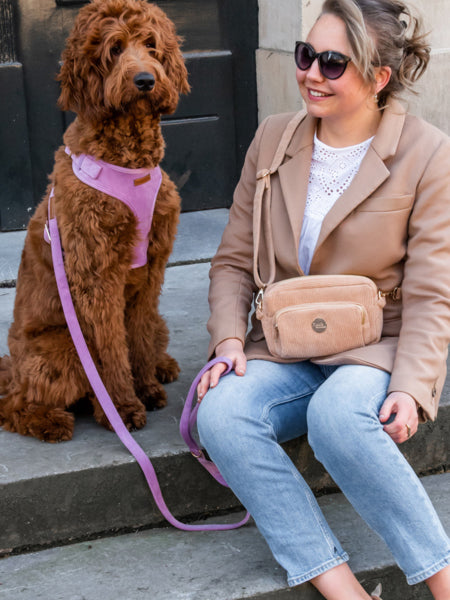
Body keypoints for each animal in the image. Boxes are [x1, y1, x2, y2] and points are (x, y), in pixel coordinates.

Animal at [0, 0, 189, 440]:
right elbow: (109, 350)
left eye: (151, 44)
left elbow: (136, 335)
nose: (144, 80)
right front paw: (121, 407)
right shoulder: (96, 274)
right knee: (14, 402)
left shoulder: (152, 269)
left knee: (152, 334)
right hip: (61, 349)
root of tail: (12, 367)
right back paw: (48, 421)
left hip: (158, 321)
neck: (130, 159)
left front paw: (146, 387)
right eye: (115, 48)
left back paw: (162, 366)